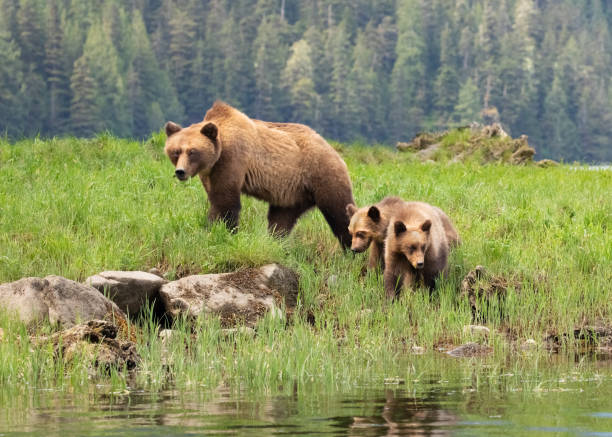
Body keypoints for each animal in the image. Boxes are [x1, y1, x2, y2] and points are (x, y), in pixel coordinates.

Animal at [164, 100, 354, 247]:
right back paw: (276, 241)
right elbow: (215, 198)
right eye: (176, 151)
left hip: (322, 174)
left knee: (339, 212)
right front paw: (212, 228)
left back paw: (351, 248)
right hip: (292, 192)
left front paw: (222, 230)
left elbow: (225, 200)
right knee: (281, 218)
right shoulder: (209, 173)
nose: (180, 172)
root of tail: (333, 150)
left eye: (192, 151)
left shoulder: (233, 159)